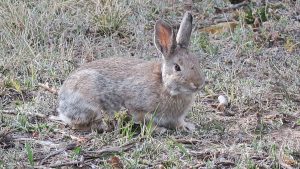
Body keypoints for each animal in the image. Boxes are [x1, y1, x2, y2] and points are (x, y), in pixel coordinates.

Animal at [56, 11, 204, 133]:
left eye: (196, 61)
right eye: (177, 67)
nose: (198, 84)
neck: (165, 86)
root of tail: (62, 104)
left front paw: (187, 127)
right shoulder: (137, 108)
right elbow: (144, 121)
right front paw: (159, 129)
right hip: (90, 103)